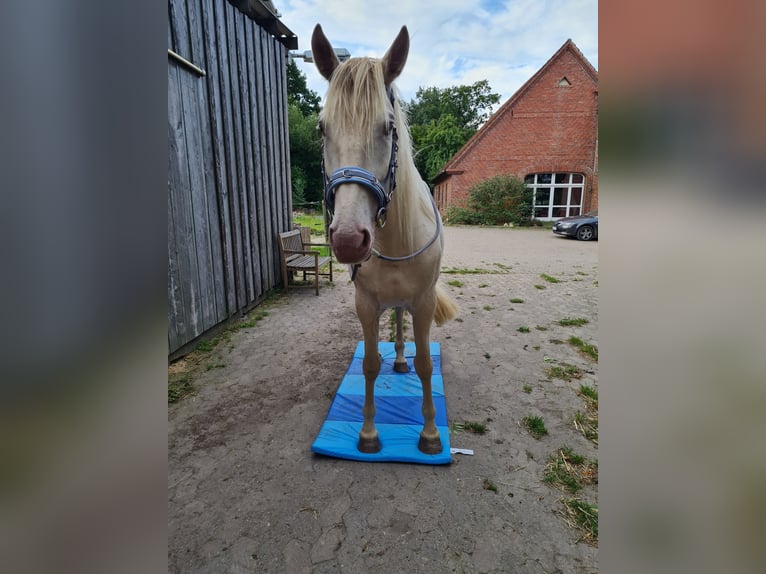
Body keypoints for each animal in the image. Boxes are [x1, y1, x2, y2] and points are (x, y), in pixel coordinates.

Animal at [310, 24, 456, 456]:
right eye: (322, 128)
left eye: (388, 128)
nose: (347, 239)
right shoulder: (367, 305)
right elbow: (370, 364)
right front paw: (369, 433)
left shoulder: (424, 302)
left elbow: (426, 364)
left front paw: (430, 434)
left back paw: (403, 360)